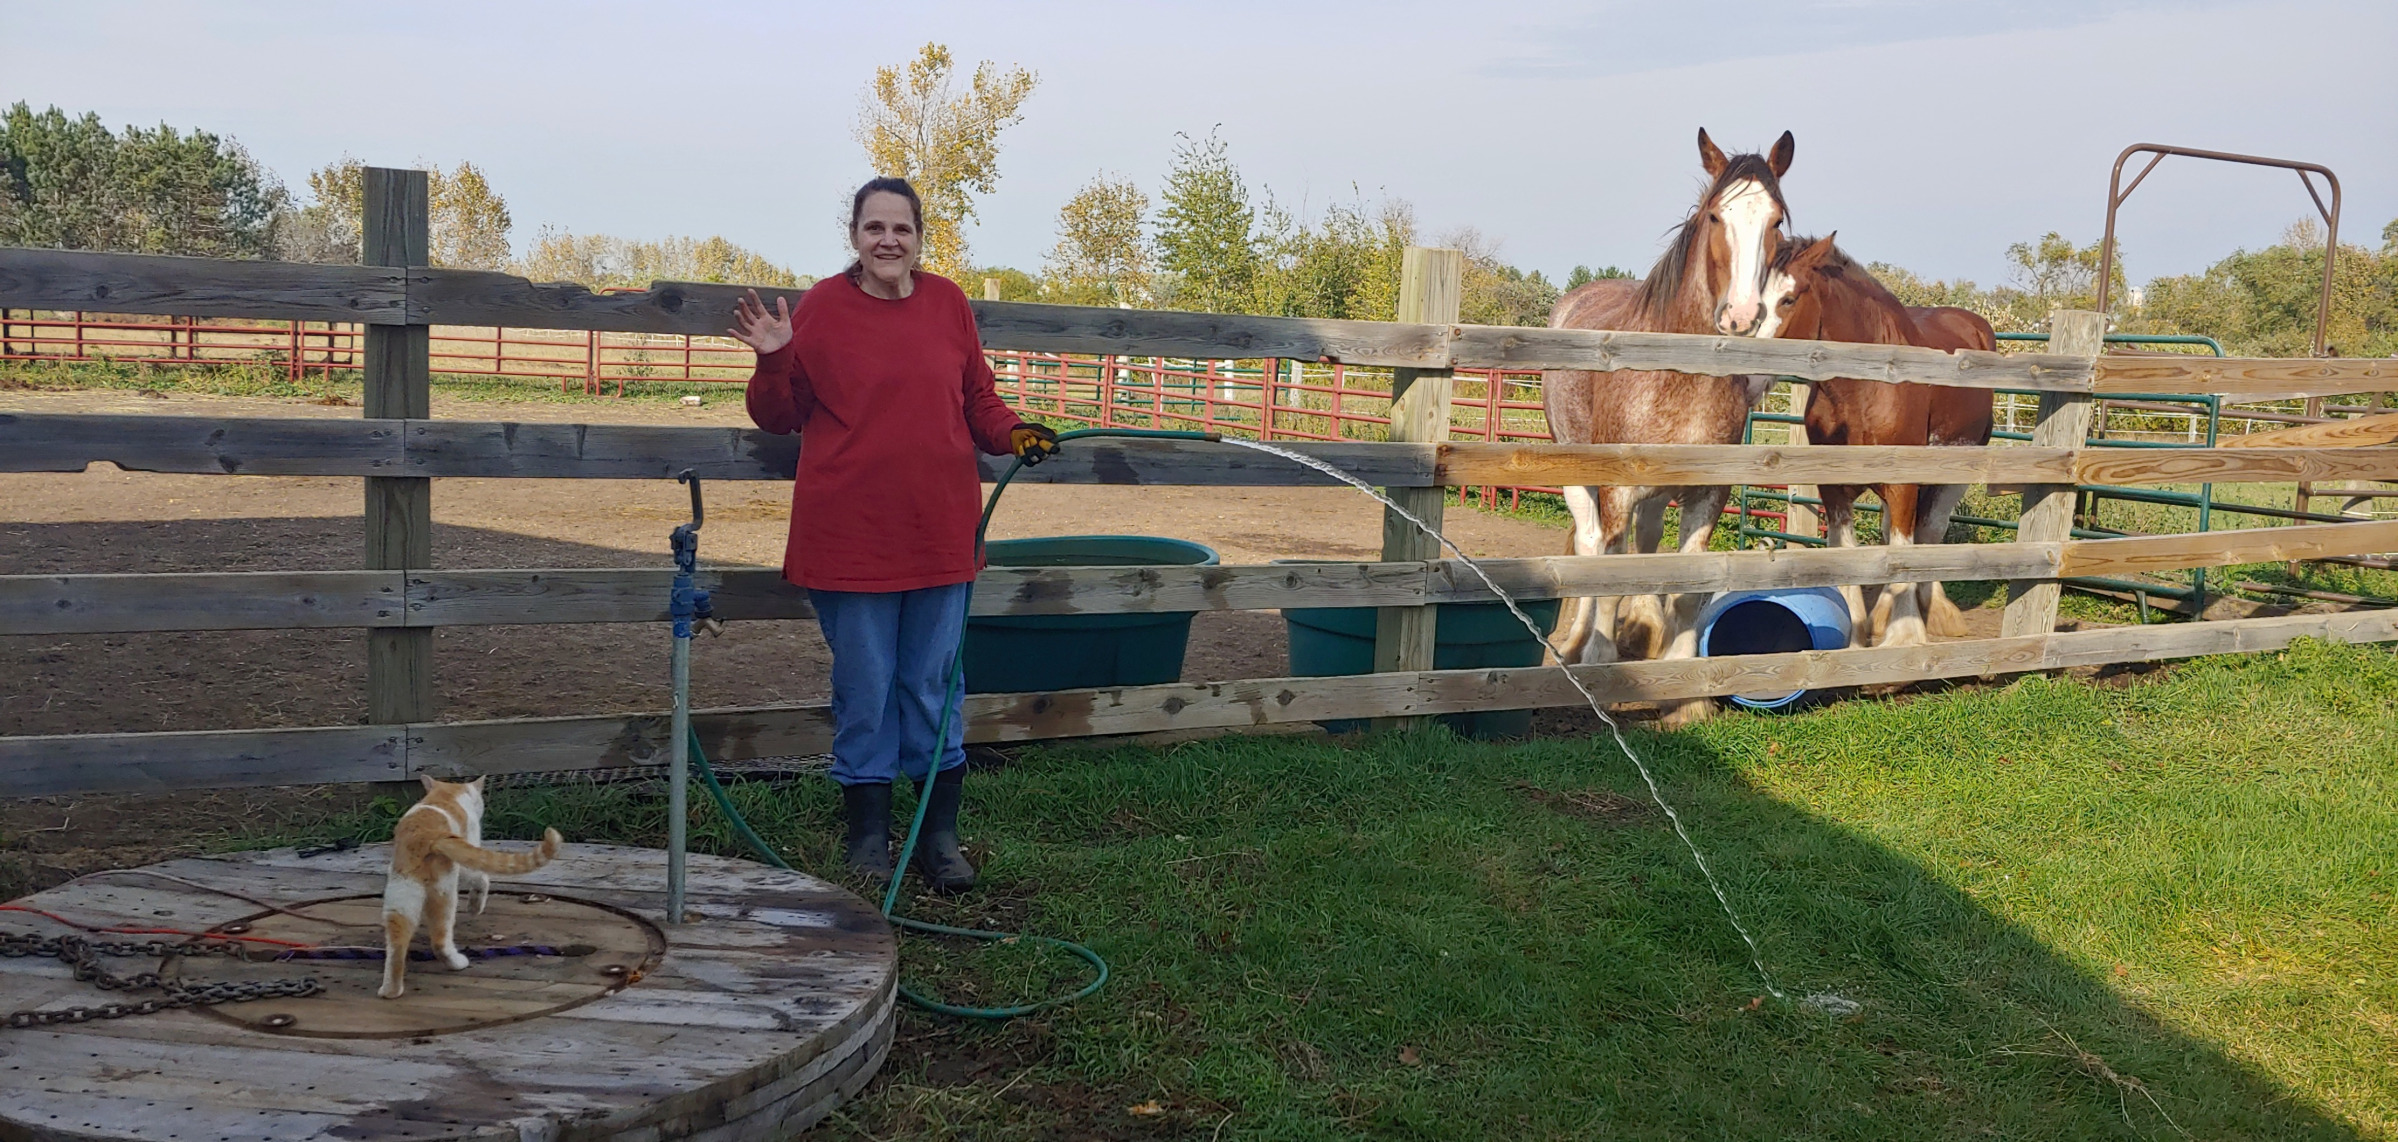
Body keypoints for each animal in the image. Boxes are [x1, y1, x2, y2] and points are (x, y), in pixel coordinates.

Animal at [1542, 127, 1795, 728]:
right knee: (1591, 548)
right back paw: (1577, 643)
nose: (1741, 316)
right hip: (1576, 475)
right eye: (1715, 216)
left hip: (1656, 495)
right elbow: (1611, 575)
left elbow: (1684, 586)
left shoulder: (1707, 492)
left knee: (1647, 544)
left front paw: (1685, 693)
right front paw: (1602, 667)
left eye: (1776, 219)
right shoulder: (1617, 489)